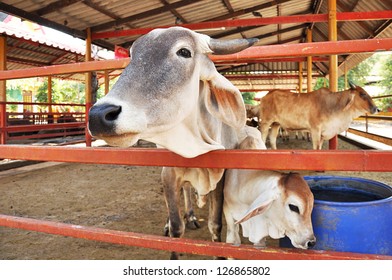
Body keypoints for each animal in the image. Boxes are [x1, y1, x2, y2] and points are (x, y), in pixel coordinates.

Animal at [88, 27, 258, 260]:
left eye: (184, 52)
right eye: (133, 55)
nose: (98, 115)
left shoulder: (220, 177)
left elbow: (215, 225)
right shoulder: (168, 173)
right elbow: (177, 228)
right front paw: (173, 230)